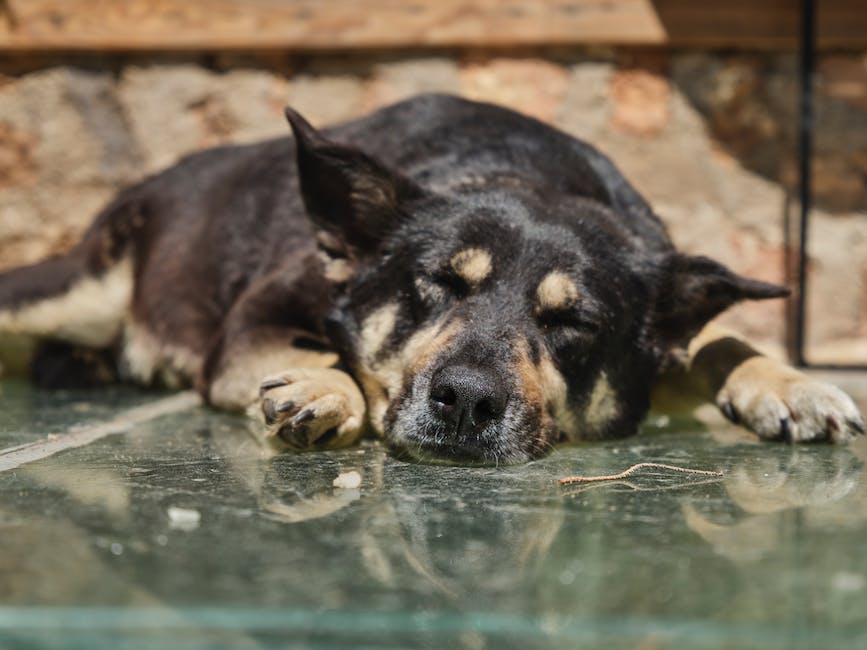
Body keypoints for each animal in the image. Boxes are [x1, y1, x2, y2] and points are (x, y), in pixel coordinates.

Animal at [0, 95, 864, 460]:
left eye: (573, 323)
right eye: (439, 283)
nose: (468, 403)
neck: (520, 172)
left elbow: (719, 339)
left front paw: (788, 385)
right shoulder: (255, 322)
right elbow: (327, 353)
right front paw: (326, 388)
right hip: (74, 287)